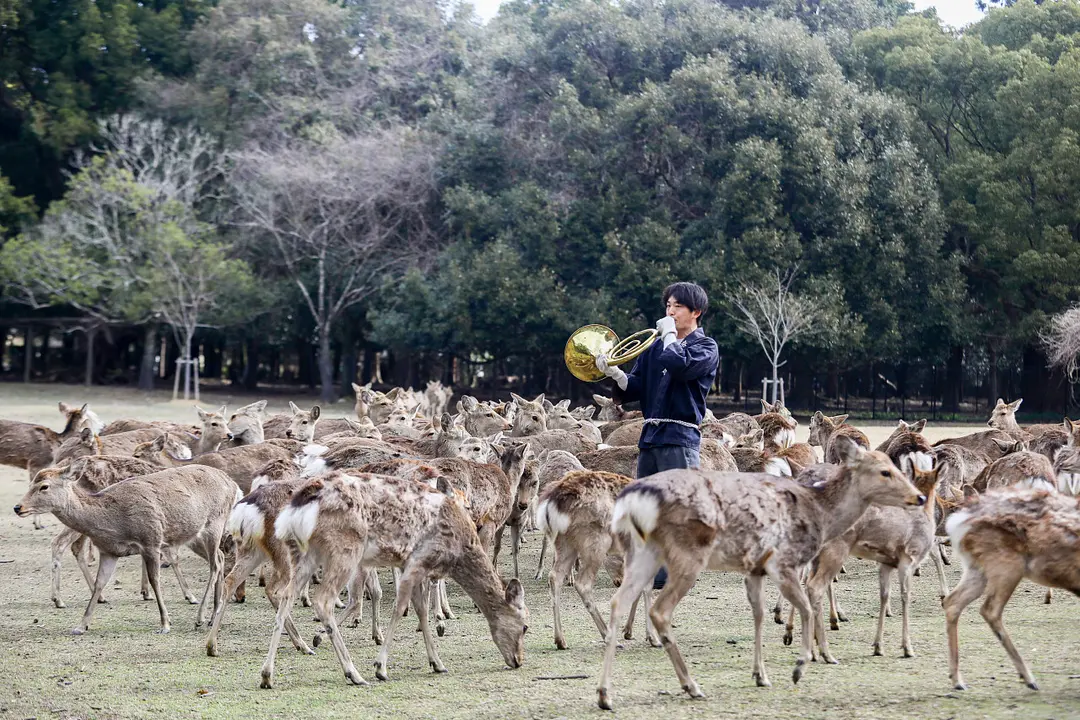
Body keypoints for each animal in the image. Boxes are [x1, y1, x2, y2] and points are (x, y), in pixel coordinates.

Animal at [14, 463, 238, 634]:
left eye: (44, 486)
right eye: (31, 483)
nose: (18, 507)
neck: (114, 523)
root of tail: (233, 484)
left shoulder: (151, 541)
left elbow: (155, 581)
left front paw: (165, 624)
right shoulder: (109, 552)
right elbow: (99, 584)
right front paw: (81, 625)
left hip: (214, 523)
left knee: (215, 563)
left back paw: (200, 617)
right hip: (198, 533)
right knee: (220, 557)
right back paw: (213, 616)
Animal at [262, 471, 528, 689]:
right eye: (526, 626)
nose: (518, 660)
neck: (458, 550)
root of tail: (298, 506)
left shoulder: (413, 566)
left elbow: (421, 610)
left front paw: (437, 663)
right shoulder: (417, 560)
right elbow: (400, 608)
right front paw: (380, 667)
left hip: (306, 553)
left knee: (286, 595)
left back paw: (268, 674)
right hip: (345, 549)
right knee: (323, 600)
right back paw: (353, 673)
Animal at [537, 469, 658, 650]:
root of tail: (550, 504)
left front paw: (629, 631)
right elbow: (647, 586)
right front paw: (653, 637)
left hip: (565, 543)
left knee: (555, 577)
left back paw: (560, 640)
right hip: (596, 541)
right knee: (583, 583)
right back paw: (609, 637)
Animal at [594, 436, 926, 710]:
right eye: (885, 471)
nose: (919, 497)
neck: (821, 513)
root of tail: (634, 501)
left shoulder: (754, 568)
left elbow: (760, 616)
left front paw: (761, 675)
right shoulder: (783, 561)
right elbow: (806, 606)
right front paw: (800, 665)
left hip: (642, 552)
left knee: (617, 601)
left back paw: (605, 694)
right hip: (687, 554)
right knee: (661, 611)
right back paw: (691, 685)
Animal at [943, 487, 1080, 691]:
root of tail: (957, 522)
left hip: (977, 569)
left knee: (952, 601)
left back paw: (957, 680)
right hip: (1007, 567)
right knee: (990, 610)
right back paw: (1029, 678)